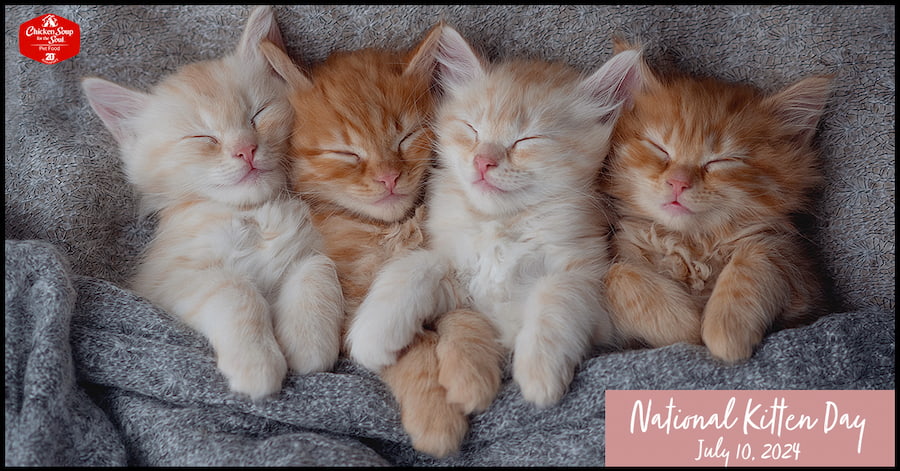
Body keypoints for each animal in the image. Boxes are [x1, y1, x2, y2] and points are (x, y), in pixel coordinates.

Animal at [81, 5, 342, 400]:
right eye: (202, 138)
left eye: (258, 114)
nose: (245, 149)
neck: (255, 213)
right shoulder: (167, 278)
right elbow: (237, 292)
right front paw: (256, 364)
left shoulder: (316, 244)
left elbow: (317, 269)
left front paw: (308, 342)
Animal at [260, 23, 502, 458]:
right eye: (346, 154)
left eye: (406, 138)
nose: (389, 177)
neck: (393, 229)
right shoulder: (356, 301)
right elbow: (411, 350)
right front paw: (434, 416)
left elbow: (465, 317)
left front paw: (469, 370)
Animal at [344, 25, 640, 408]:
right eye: (473, 130)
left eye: (526, 140)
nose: (484, 161)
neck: (501, 225)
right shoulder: (461, 282)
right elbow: (414, 266)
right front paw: (375, 333)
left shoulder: (590, 285)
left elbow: (556, 296)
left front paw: (539, 373)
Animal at [600, 43, 832, 362]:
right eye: (660, 149)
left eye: (721, 161)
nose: (678, 182)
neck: (692, 244)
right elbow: (615, 274)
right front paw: (683, 323)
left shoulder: (805, 283)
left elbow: (758, 255)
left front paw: (725, 330)